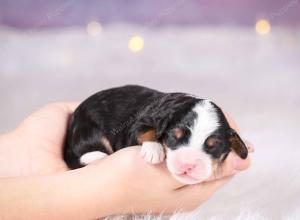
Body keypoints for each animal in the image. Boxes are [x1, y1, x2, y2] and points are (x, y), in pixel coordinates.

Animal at [63, 85, 248, 185]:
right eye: (174, 137)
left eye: (213, 146)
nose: (187, 166)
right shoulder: (136, 125)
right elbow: (147, 131)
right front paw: (154, 150)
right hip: (86, 130)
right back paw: (97, 156)